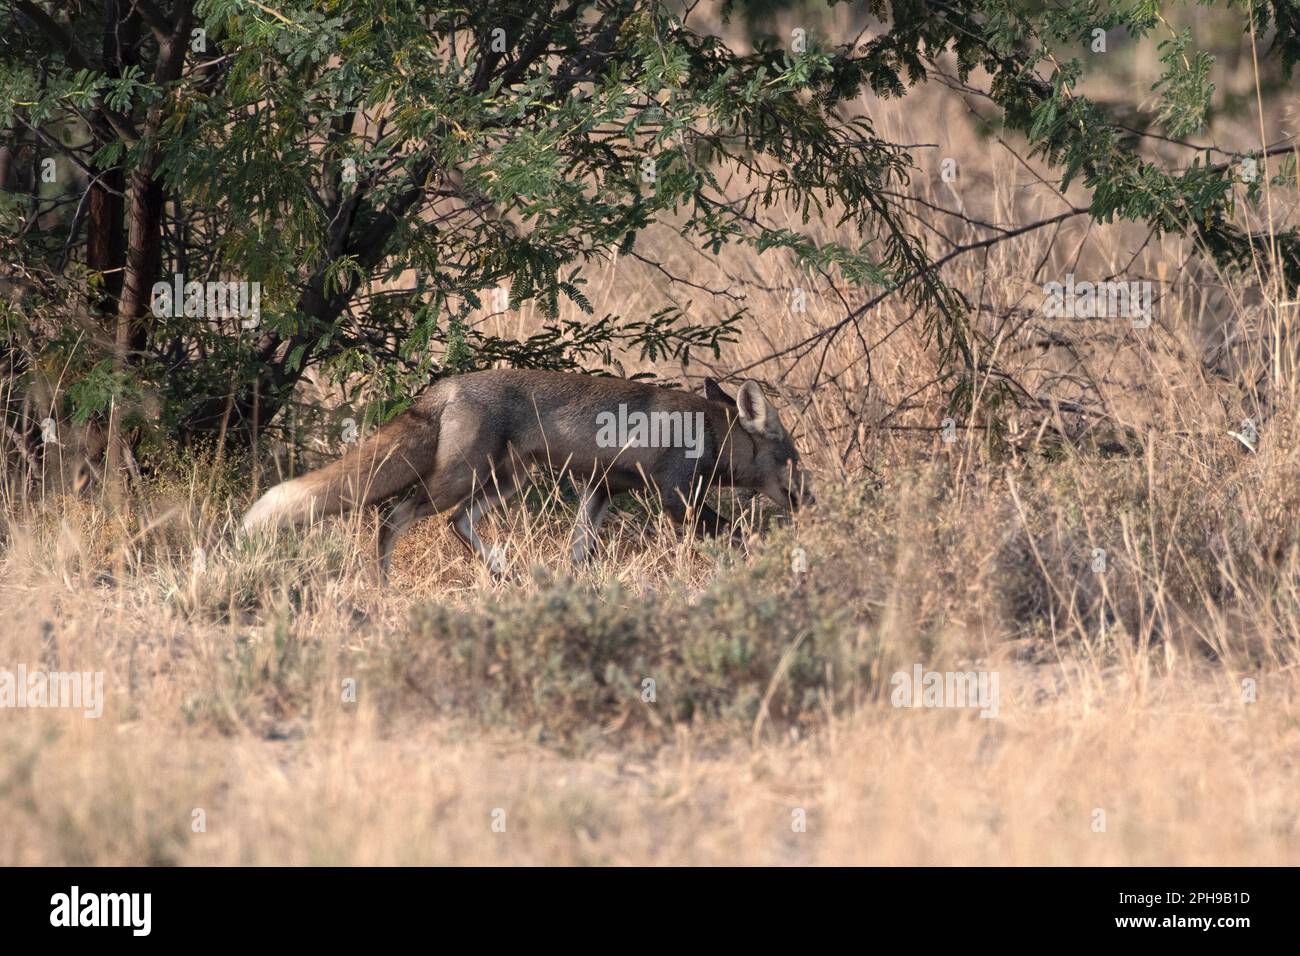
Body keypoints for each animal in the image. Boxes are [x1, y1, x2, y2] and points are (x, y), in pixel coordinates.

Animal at [240, 364, 811, 574]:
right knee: (391, 519)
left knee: (456, 524)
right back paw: (381, 584)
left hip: (505, 482)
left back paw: (500, 573)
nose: (811, 501)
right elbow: (734, 532)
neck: (708, 432)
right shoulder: (676, 496)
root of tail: (444, 387)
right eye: (793, 460)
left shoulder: (601, 490)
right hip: (460, 479)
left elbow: (580, 551)